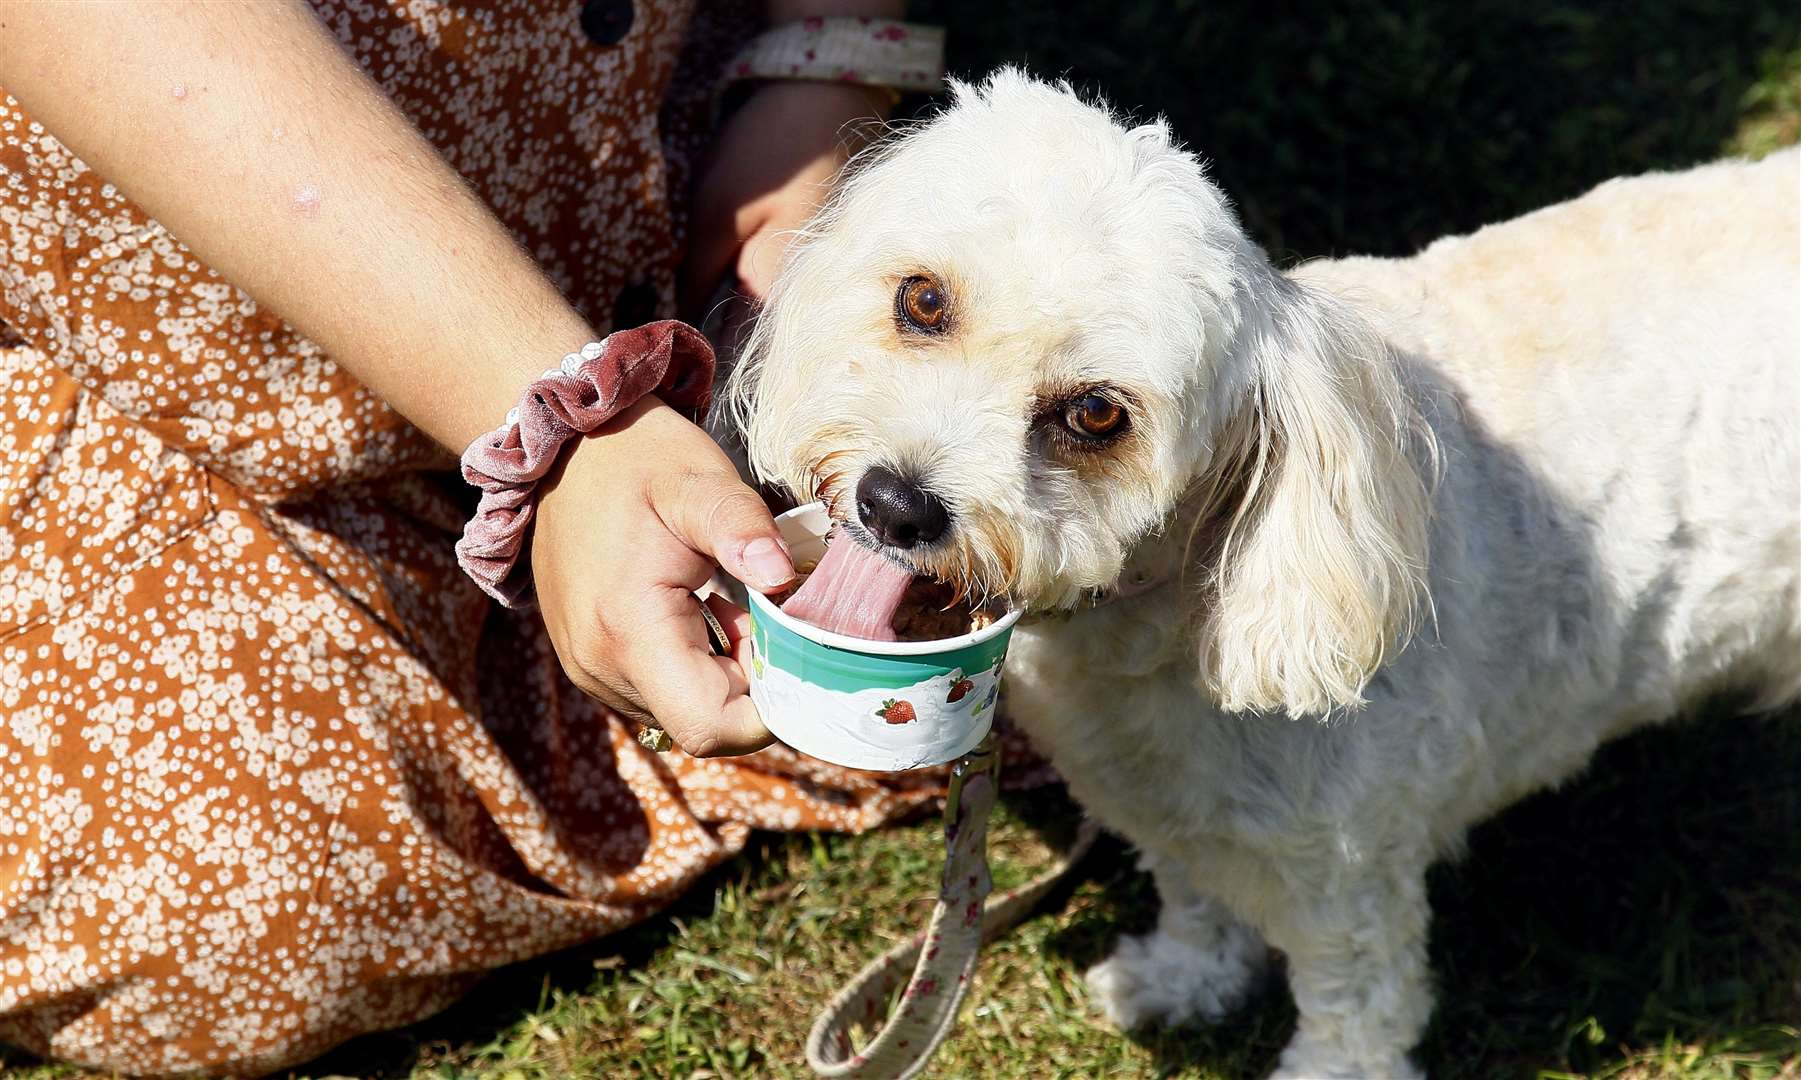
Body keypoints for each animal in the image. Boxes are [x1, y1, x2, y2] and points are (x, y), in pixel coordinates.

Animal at [720, 71, 1801, 1072]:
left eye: (1097, 414)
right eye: (922, 300)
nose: (895, 504)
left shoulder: (1349, 879)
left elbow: (1356, 1016)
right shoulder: (1165, 808)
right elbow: (1194, 896)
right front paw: (1186, 977)